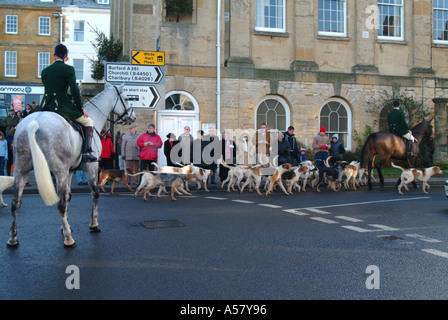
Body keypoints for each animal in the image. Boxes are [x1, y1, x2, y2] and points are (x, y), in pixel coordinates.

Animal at [7, 82, 136, 248]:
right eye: (126, 98)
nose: (133, 117)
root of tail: (33, 124)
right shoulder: (91, 167)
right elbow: (95, 193)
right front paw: (93, 224)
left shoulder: (69, 170)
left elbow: (68, 196)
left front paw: (65, 226)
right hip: (58, 171)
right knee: (60, 204)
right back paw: (69, 239)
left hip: (21, 170)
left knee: (16, 203)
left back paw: (13, 238)